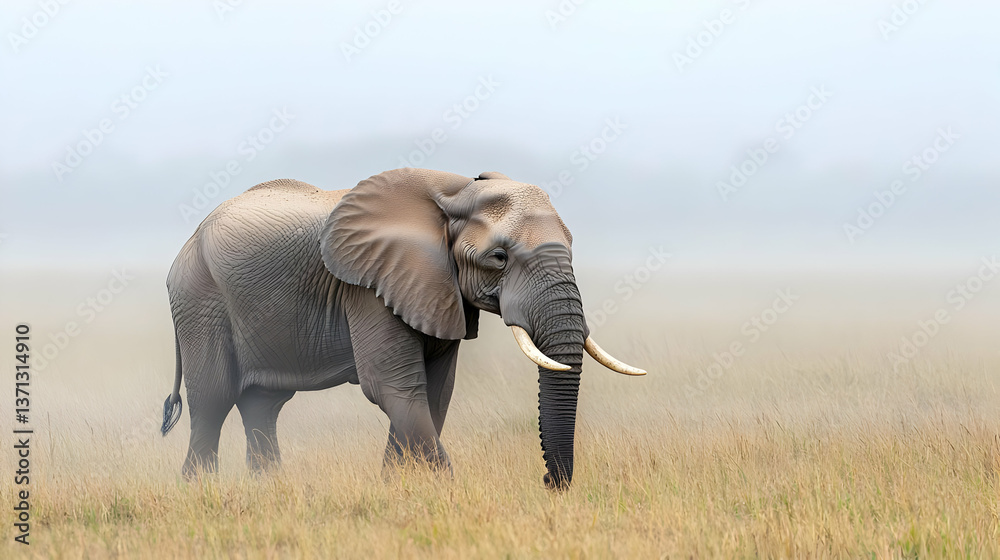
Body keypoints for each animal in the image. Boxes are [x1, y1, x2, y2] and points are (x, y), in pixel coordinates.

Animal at [160, 168, 644, 489]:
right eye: (499, 258)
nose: (547, 482)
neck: (454, 191)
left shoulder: (436, 290)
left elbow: (434, 393)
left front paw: (397, 491)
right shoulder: (369, 286)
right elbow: (395, 390)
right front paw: (445, 492)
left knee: (263, 403)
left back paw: (270, 490)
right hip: (200, 298)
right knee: (214, 398)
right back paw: (199, 491)